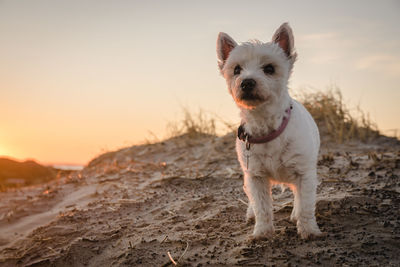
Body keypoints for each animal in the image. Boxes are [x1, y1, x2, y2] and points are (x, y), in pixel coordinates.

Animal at [216, 23, 322, 241]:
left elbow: (306, 205)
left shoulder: (304, 174)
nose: (247, 82)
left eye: (269, 69)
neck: (266, 125)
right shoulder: (256, 177)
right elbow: (262, 207)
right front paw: (263, 232)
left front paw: (308, 230)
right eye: (237, 70)